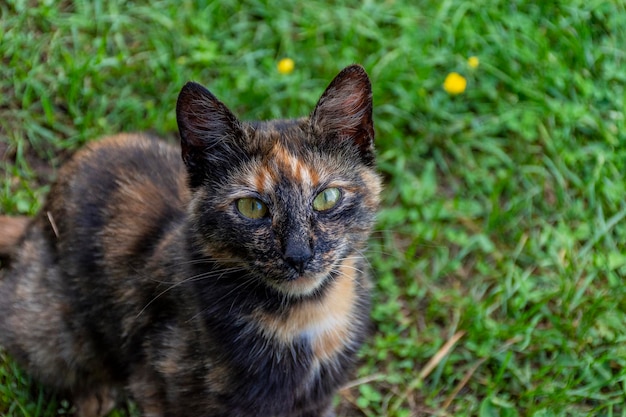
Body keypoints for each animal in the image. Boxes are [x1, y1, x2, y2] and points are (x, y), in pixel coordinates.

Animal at [0, 65, 380, 416]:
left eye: (327, 198)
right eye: (251, 207)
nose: (298, 255)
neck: (306, 317)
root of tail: (38, 218)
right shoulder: (156, 387)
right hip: (51, 329)